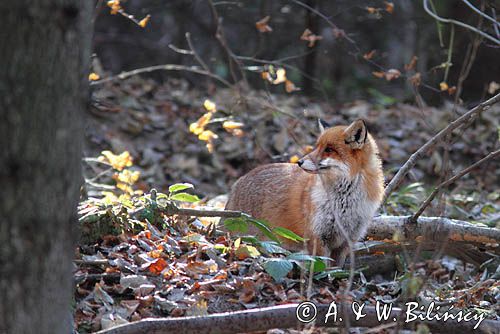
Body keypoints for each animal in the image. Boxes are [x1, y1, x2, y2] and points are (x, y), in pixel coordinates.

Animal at [225, 118, 384, 264]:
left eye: (328, 149)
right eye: (317, 146)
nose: (299, 162)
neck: (344, 200)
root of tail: (240, 181)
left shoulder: (348, 239)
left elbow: (337, 269)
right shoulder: (316, 235)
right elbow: (323, 267)